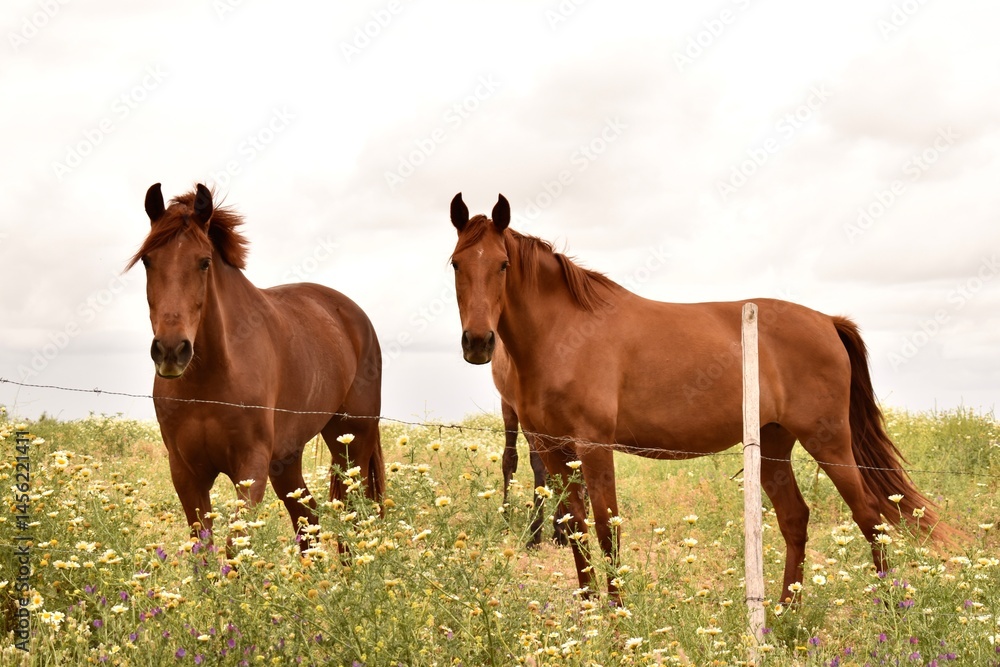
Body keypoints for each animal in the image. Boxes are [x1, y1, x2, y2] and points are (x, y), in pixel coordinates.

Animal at [127, 183, 384, 546]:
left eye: (204, 262)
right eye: (148, 261)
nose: (171, 350)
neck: (210, 378)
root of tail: (355, 317)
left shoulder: (251, 467)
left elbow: (235, 546)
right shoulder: (186, 473)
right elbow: (203, 549)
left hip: (351, 442)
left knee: (354, 514)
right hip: (288, 457)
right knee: (308, 515)